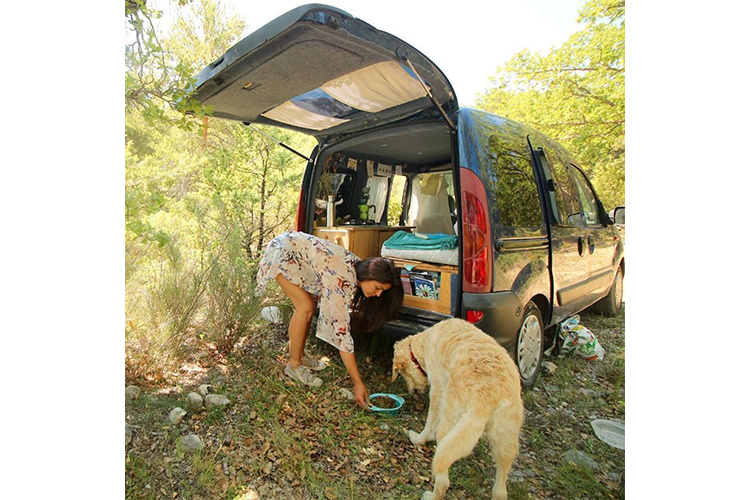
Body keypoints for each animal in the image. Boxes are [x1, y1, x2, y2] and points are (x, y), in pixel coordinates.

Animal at [394, 320, 524, 500]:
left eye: (403, 374)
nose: (411, 391)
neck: (424, 341)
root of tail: (487, 393)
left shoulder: (438, 388)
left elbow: (430, 422)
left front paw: (419, 438)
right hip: (506, 440)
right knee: (500, 490)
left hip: (450, 420)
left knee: (443, 479)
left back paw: (432, 495)